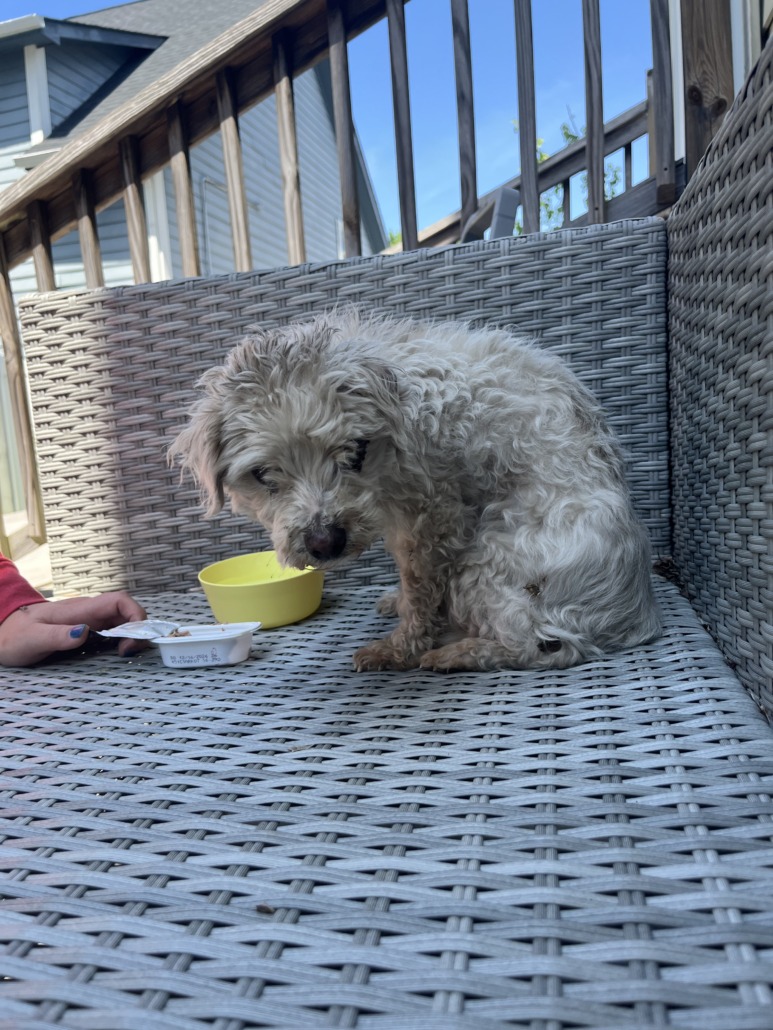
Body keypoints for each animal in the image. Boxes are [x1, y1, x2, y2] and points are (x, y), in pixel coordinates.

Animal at [171, 310, 661, 672]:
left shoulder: (433, 516)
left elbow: (421, 588)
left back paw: (453, 654)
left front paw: (398, 648)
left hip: (487, 562)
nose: (326, 543)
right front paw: (397, 603)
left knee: (532, 646)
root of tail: (629, 615)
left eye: (356, 451)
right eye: (262, 474)